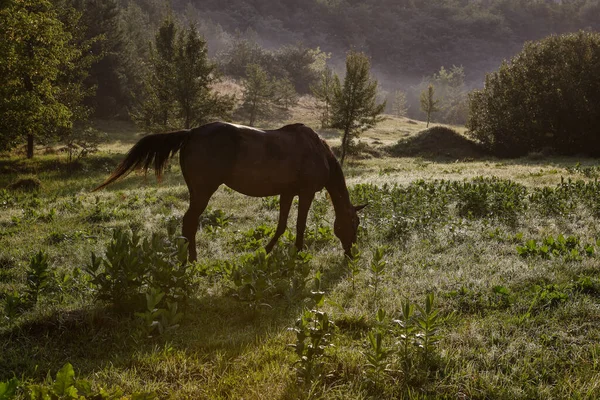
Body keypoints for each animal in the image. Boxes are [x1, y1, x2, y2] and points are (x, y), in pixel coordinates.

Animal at [94, 121, 366, 260]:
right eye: (354, 223)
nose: (352, 253)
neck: (319, 152)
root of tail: (191, 133)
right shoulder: (306, 192)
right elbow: (299, 225)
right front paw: (298, 252)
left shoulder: (287, 193)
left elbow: (281, 225)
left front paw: (266, 250)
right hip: (203, 191)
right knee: (189, 222)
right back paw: (191, 260)